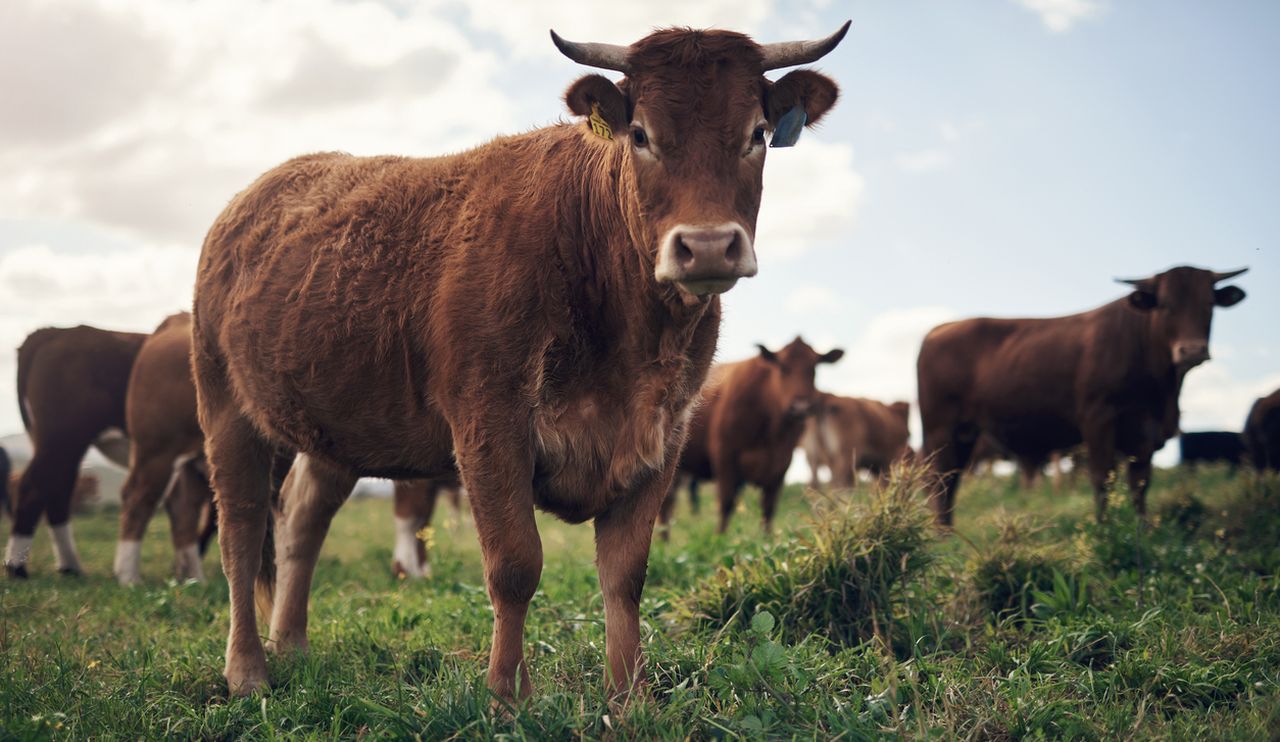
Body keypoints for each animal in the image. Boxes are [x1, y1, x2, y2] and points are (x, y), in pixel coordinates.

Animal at [5, 326, 146, 580]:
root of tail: (57, 331)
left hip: (61, 447)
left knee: (57, 491)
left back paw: (69, 566)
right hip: (62, 439)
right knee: (33, 487)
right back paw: (17, 567)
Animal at [115, 313, 217, 585]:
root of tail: (176, 320)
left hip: (195, 459)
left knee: (185, 509)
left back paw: (195, 580)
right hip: (157, 450)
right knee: (137, 498)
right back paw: (128, 577)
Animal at [665, 340, 844, 537]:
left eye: (814, 369)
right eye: (783, 367)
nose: (801, 407)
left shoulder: (781, 465)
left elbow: (768, 508)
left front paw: (767, 538)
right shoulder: (725, 458)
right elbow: (726, 503)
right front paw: (721, 537)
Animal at [921, 266, 1249, 527]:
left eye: (1209, 304)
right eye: (1165, 305)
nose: (1192, 350)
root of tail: (941, 329)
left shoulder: (1145, 433)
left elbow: (1140, 483)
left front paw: (1142, 529)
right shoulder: (1098, 420)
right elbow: (1102, 478)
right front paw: (1105, 529)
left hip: (966, 433)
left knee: (951, 480)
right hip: (941, 430)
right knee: (940, 480)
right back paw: (942, 535)